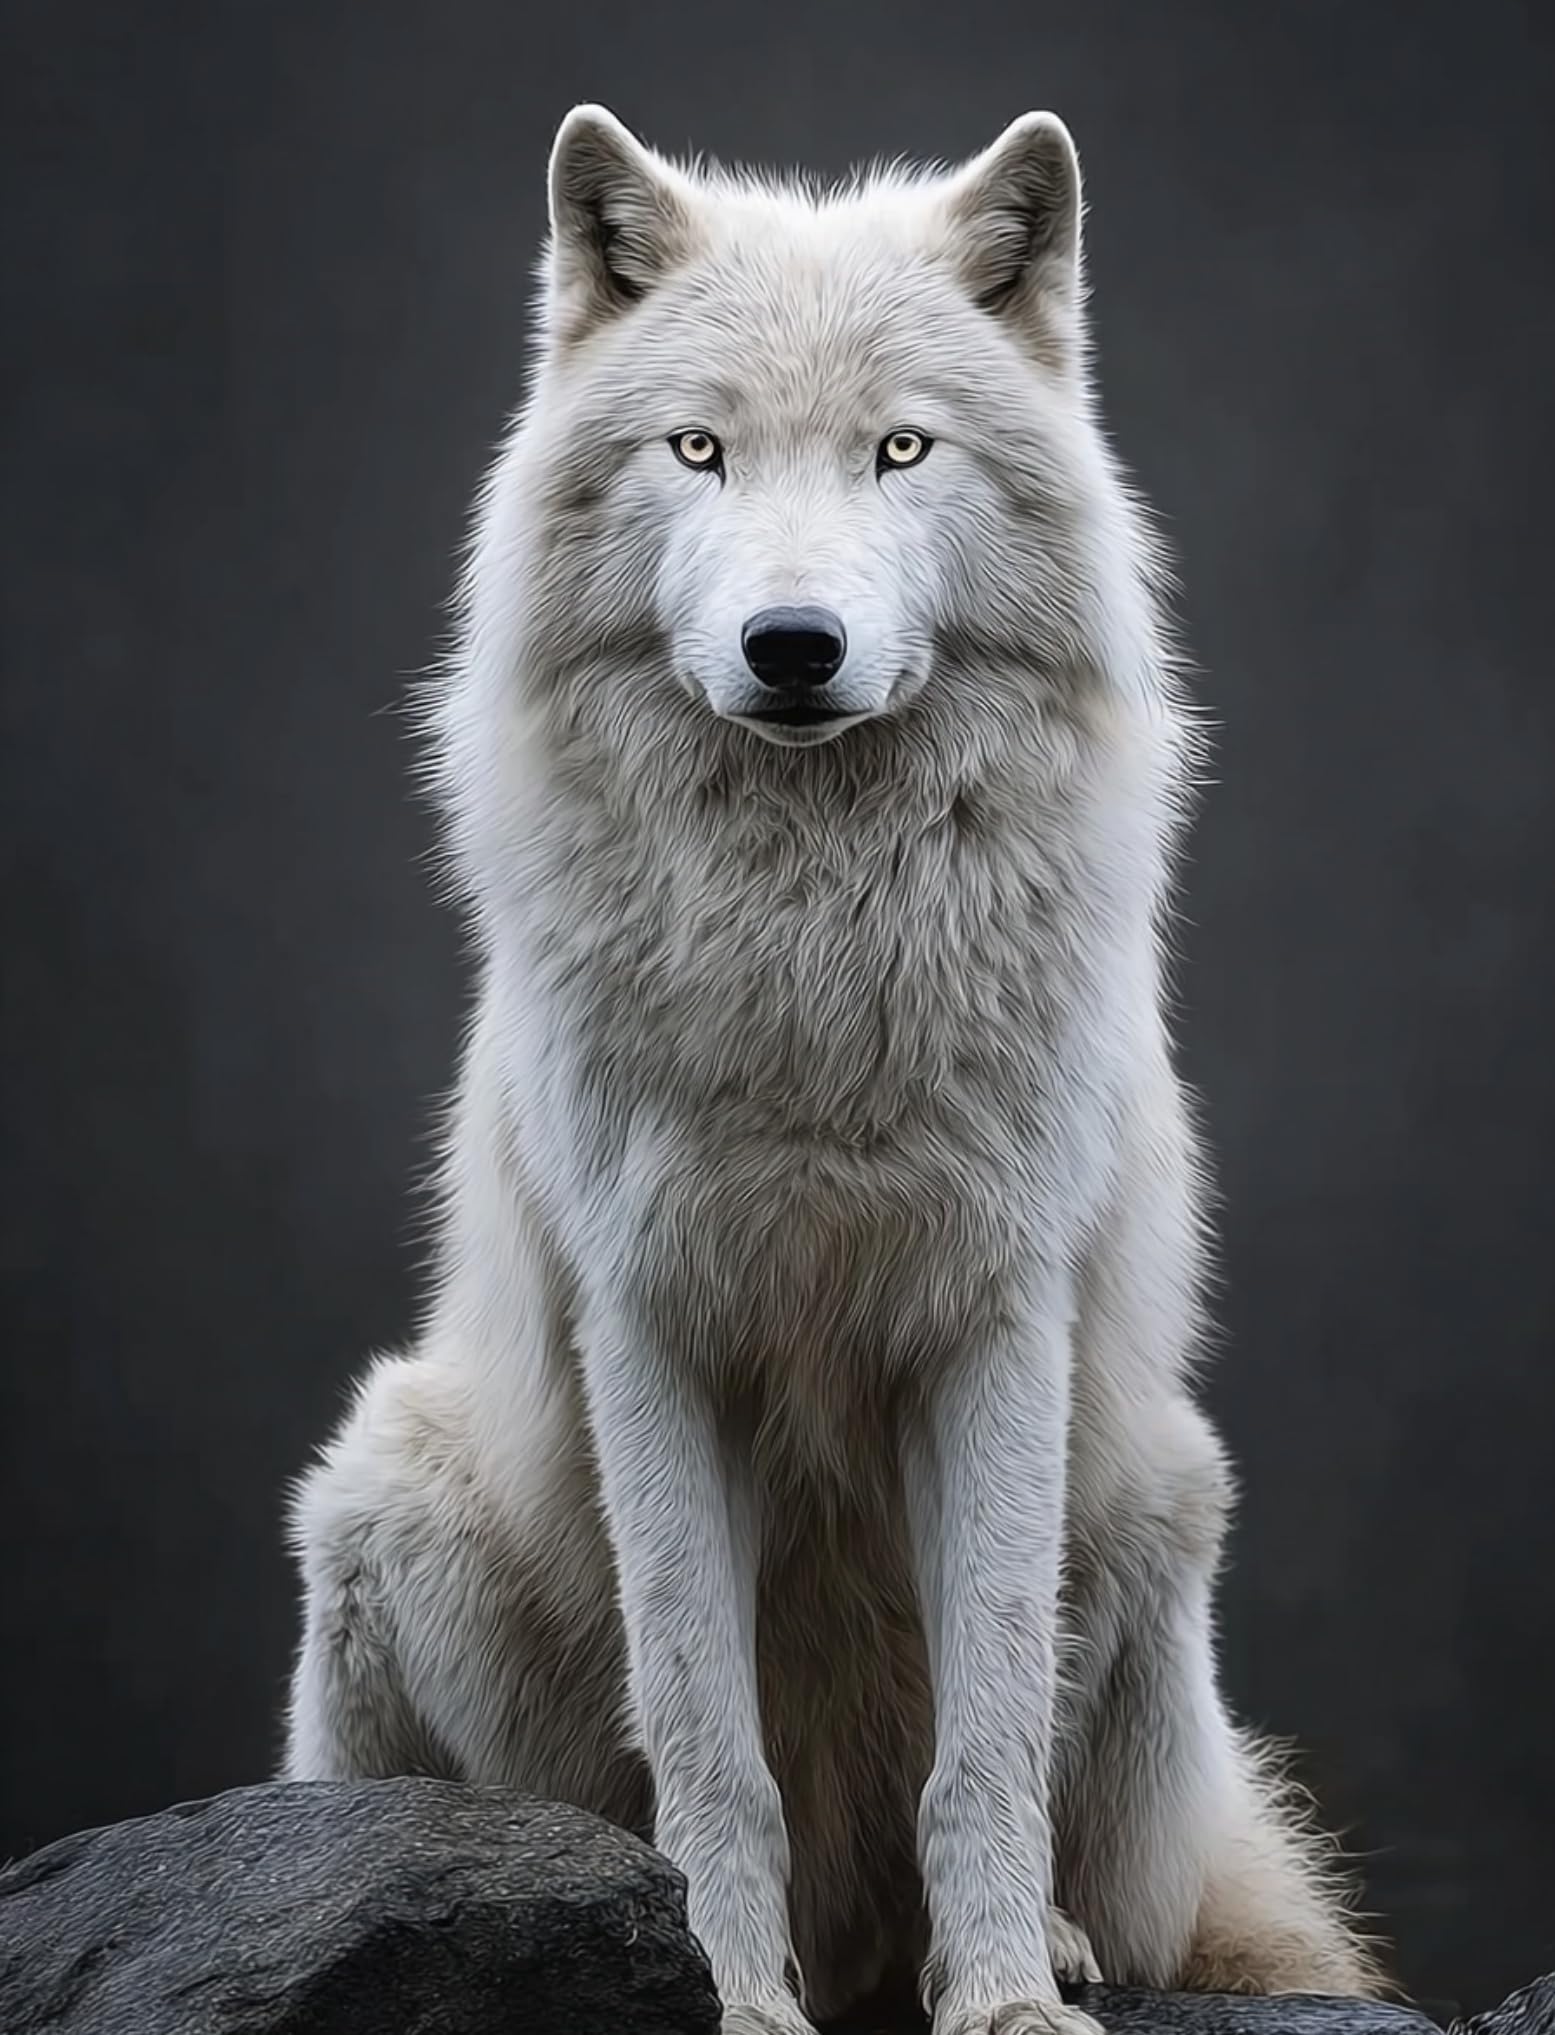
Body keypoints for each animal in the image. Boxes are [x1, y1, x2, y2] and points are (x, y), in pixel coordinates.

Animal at [283, 104, 1380, 2035]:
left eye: (900, 449)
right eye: (698, 449)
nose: (791, 645)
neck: (810, 943)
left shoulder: (995, 1322)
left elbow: (985, 1731)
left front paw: (1008, 1998)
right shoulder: (652, 1331)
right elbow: (709, 1741)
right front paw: (723, 1991)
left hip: (1160, 1497)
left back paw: (1054, 1944)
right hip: (377, 1484)